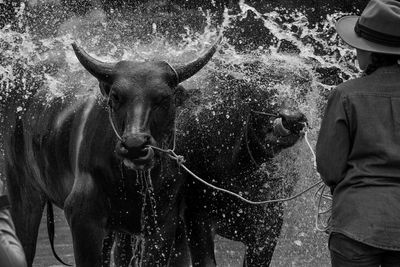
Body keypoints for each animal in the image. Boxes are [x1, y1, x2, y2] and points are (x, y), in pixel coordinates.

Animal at [0, 40, 219, 267]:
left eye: (163, 98)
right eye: (116, 96)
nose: (134, 145)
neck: (130, 183)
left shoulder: (162, 225)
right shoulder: (83, 217)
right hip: (21, 191)